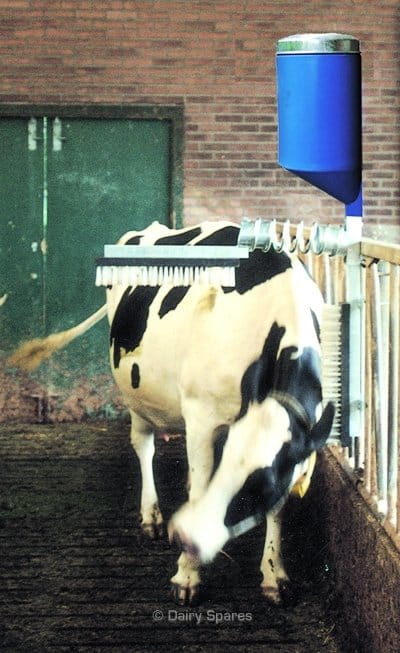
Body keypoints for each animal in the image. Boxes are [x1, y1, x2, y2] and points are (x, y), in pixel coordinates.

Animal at [8, 220, 334, 606]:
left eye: (264, 486)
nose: (187, 538)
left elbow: (279, 508)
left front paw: (274, 574)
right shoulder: (202, 416)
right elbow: (199, 488)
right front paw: (187, 575)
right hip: (135, 393)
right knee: (144, 445)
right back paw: (151, 514)